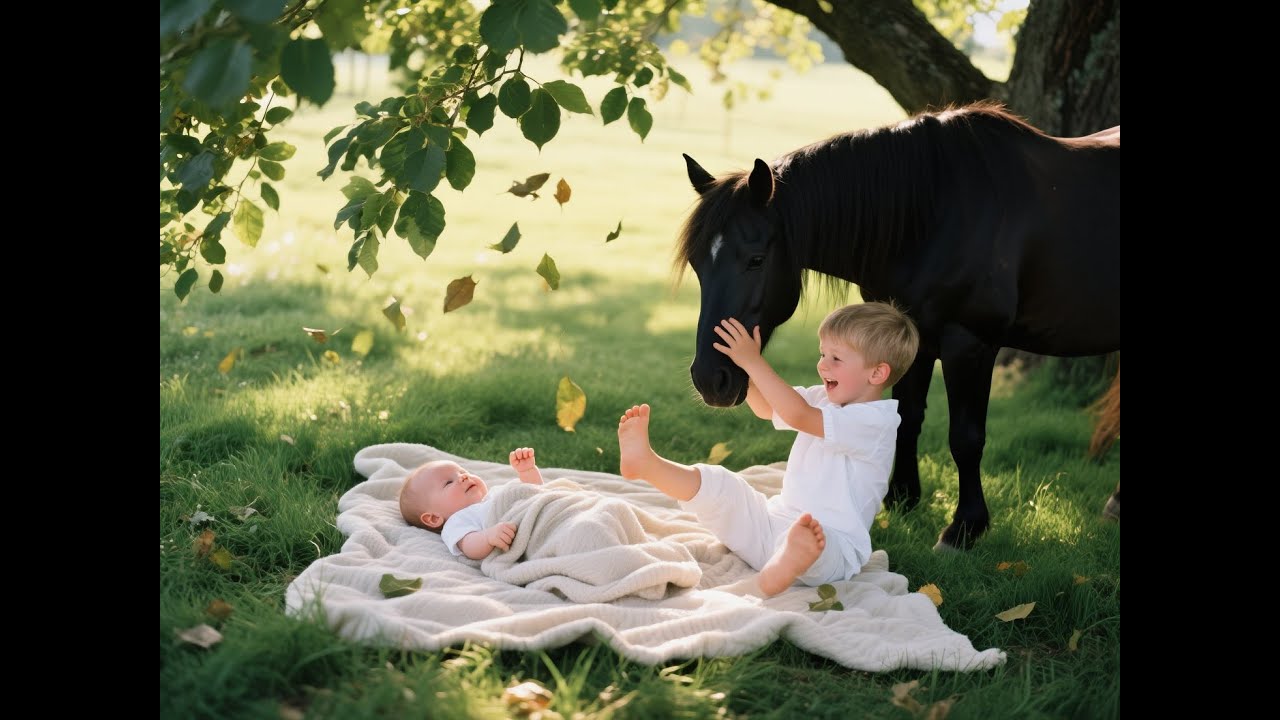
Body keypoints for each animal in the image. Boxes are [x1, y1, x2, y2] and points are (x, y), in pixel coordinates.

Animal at [676, 103, 1119, 550]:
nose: (710, 379)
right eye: (697, 264)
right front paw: (901, 499)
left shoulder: (970, 344)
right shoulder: (912, 338)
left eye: (755, 260)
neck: (934, 213)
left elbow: (966, 437)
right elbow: (907, 418)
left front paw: (963, 528)